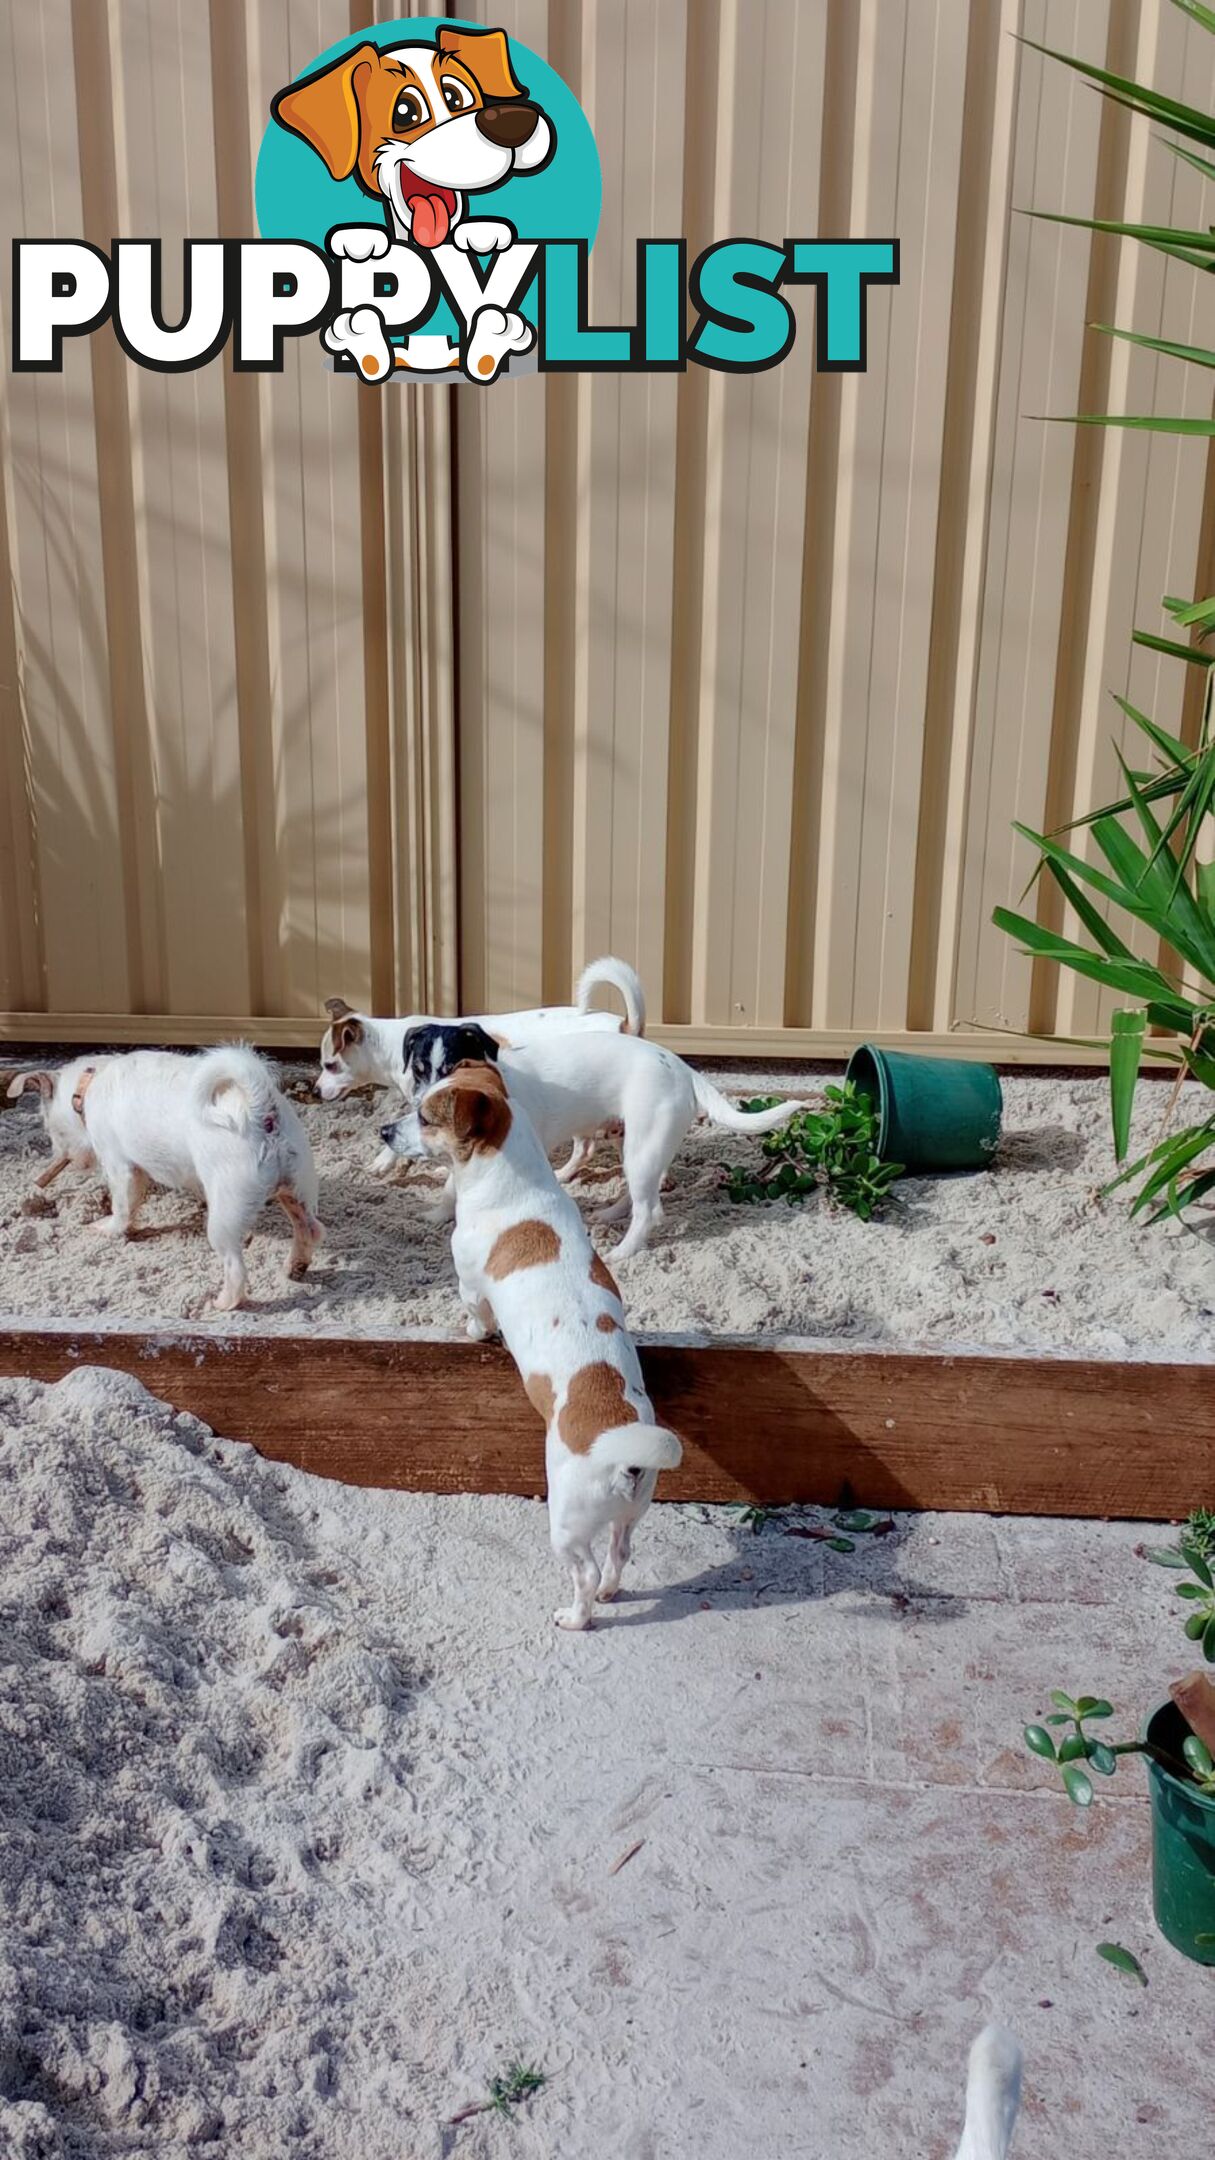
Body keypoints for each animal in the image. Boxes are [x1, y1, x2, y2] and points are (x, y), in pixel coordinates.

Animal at [8, 1045, 322, 1313]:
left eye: (51, 1129)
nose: (59, 1156)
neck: (89, 1082)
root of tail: (261, 1109)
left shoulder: (121, 1168)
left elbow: (122, 1208)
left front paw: (109, 1228)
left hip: (225, 1215)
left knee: (235, 1267)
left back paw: (224, 1302)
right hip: (296, 1191)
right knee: (309, 1228)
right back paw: (295, 1267)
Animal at [378, 1062, 683, 1632]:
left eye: (424, 1116)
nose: (383, 1131)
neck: (514, 1182)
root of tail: (625, 1457)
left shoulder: (469, 1284)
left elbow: (476, 1315)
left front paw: (473, 1334)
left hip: (565, 1522)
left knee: (585, 1571)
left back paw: (575, 1617)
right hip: (630, 1517)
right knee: (619, 1555)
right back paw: (610, 1592)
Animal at [397, 1019, 804, 1261]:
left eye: (450, 1069)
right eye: (418, 1071)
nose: (423, 1107)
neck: (496, 1080)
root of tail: (684, 1068)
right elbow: (450, 1186)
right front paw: (436, 1215)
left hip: (642, 1147)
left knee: (649, 1209)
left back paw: (622, 1252)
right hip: (637, 1146)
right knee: (640, 1194)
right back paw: (609, 1214)